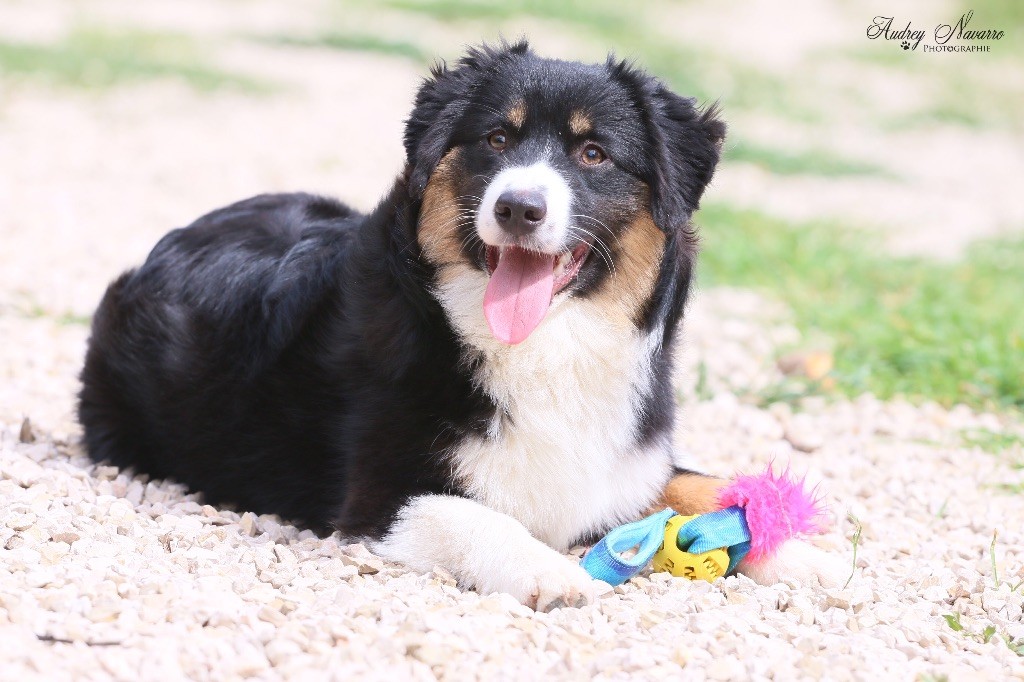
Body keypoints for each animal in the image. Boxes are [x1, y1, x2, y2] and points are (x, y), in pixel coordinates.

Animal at [79, 41, 842, 610]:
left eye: (593, 153)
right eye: (497, 138)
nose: (519, 208)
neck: (547, 346)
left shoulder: (623, 457)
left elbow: (697, 481)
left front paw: (798, 551)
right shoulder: (380, 492)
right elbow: (474, 515)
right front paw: (550, 571)